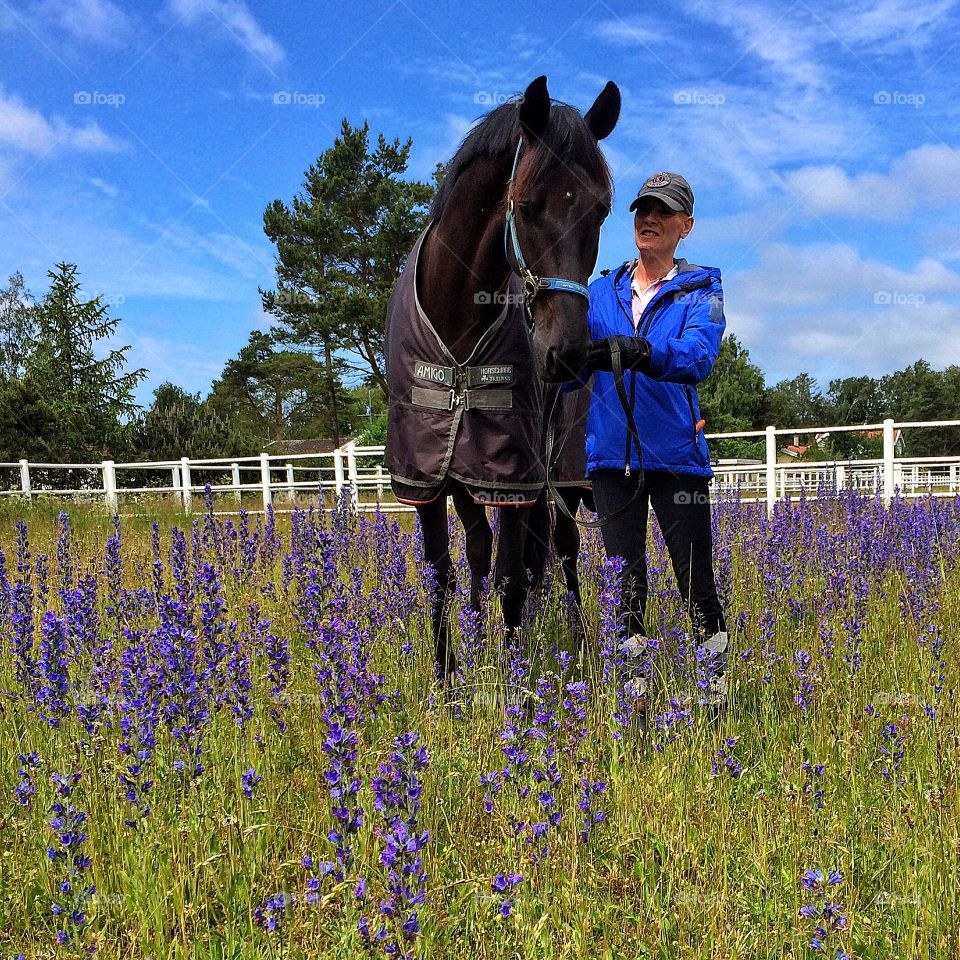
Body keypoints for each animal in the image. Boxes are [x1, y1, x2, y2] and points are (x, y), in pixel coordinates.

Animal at [385, 75, 620, 683]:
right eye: (528, 206)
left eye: (602, 210)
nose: (566, 354)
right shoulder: (428, 478)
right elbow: (444, 575)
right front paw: (449, 680)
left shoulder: (513, 476)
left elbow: (514, 578)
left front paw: (515, 683)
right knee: (480, 551)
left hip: (562, 473)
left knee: (562, 548)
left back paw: (578, 640)